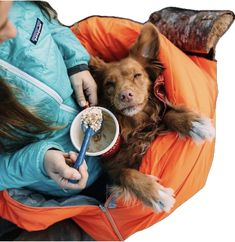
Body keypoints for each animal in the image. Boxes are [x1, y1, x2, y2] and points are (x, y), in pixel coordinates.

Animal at [89, 22, 215, 212]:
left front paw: (194, 124)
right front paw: (155, 194)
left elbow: (168, 116)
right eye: (109, 84)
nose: (125, 95)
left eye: (137, 75)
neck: (136, 125)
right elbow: (127, 173)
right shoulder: (112, 170)